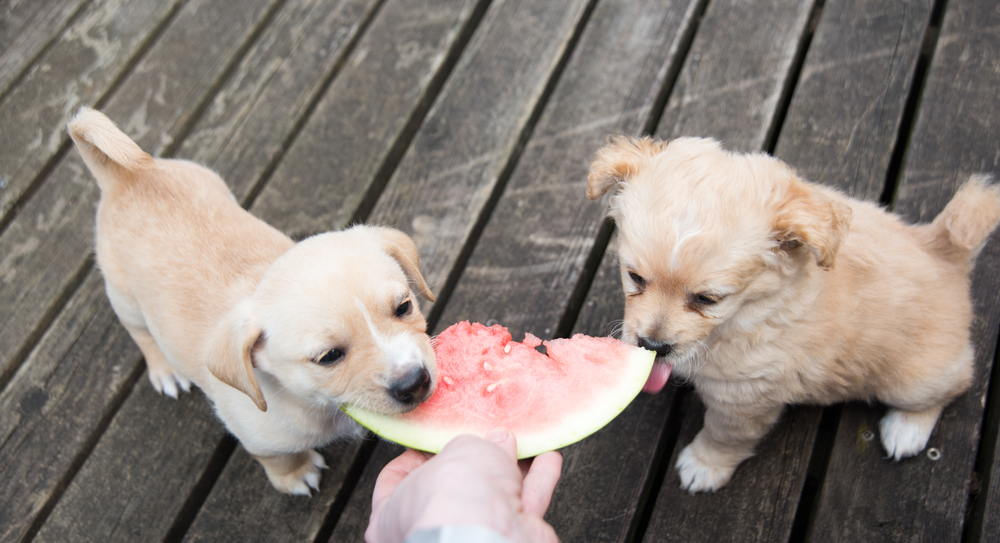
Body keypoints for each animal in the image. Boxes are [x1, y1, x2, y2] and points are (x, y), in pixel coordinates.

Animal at [66, 108, 434, 496]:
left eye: (404, 307)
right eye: (329, 357)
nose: (415, 383)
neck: (312, 402)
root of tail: (125, 176)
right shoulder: (260, 441)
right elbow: (278, 460)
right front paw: (296, 475)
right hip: (124, 298)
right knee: (141, 335)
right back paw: (165, 372)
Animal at [584, 135, 1000, 492]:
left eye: (708, 299)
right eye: (635, 277)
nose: (653, 345)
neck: (749, 312)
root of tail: (944, 251)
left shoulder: (744, 398)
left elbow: (723, 435)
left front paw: (705, 465)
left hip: (914, 379)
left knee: (955, 384)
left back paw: (906, 430)